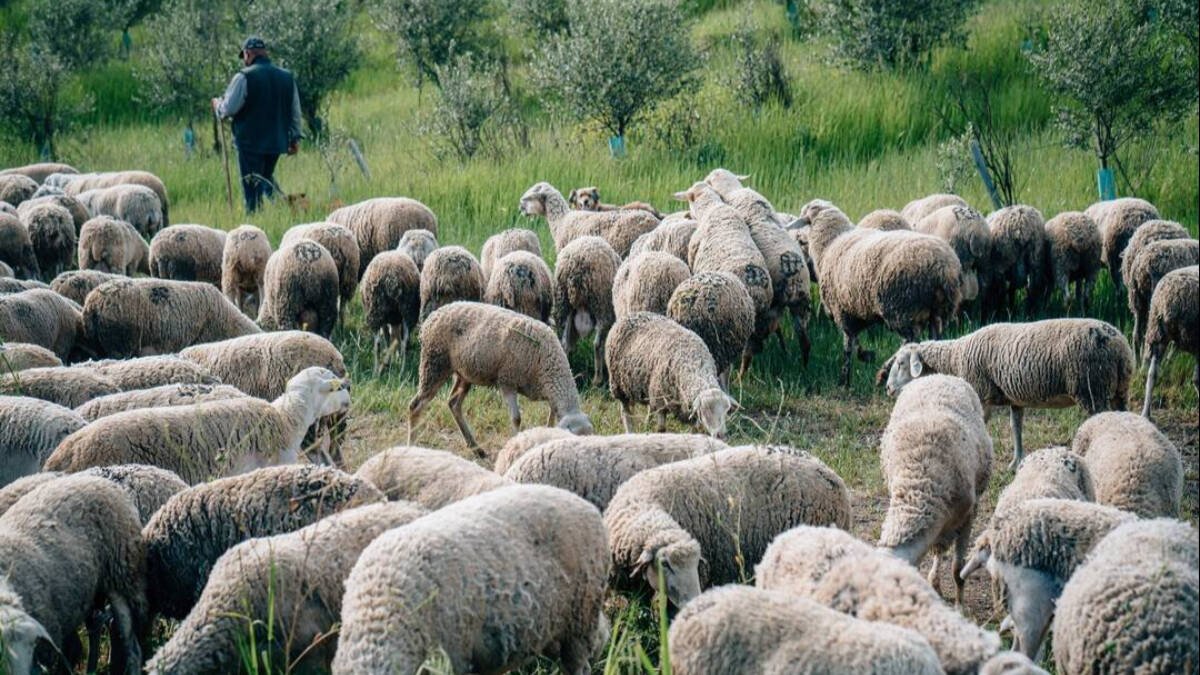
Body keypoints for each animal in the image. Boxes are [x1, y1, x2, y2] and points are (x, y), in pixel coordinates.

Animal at [408, 302, 593, 451]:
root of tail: (432, 316)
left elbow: (551, 418)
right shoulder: (507, 381)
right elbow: (516, 419)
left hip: (465, 373)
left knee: (454, 403)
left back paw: (476, 448)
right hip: (434, 364)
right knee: (415, 406)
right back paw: (412, 445)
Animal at [552, 235, 621, 383]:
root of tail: (576, 265)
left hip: (563, 303)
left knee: (564, 343)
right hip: (601, 305)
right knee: (597, 344)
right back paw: (597, 379)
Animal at [606, 311, 735, 437]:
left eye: (726, 412)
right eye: (706, 411)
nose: (720, 435)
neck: (694, 364)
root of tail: (630, 315)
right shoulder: (660, 401)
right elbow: (661, 429)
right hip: (618, 385)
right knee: (626, 413)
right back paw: (630, 431)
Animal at [799, 202, 962, 385]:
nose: (800, 240)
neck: (829, 245)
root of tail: (944, 268)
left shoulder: (842, 311)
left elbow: (847, 345)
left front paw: (844, 380)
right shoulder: (857, 310)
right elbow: (855, 341)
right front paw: (865, 357)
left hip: (902, 307)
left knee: (911, 340)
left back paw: (883, 372)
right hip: (938, 311)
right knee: (933, 338)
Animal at [879, 319, 1134, 468]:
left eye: (901, 363)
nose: (888, 388)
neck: (955, 358)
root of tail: (1119, 347)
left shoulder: (981, 394)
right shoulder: (1015, 397)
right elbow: (1016, 426)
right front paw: (1016, 461)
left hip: (1091, 389)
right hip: (1119, 390)